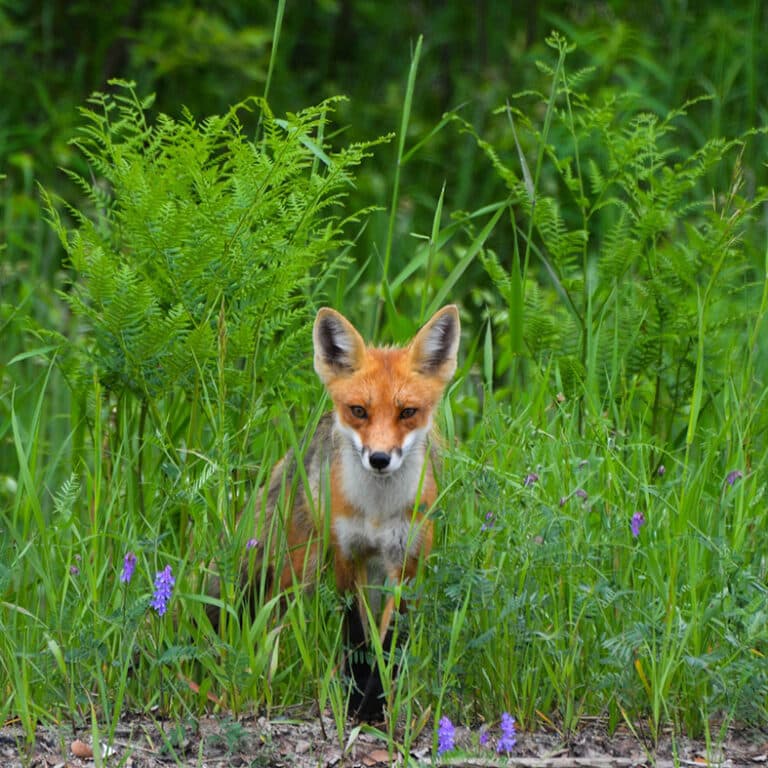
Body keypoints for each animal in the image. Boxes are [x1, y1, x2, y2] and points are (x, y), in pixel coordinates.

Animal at [241, 304, 460, 720]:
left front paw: (375, 706)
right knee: (273, 617)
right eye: (359, 411)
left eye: (408, 412)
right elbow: (357, 638)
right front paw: (357, 702)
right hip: (300, 569)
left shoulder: (407, 565)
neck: (376, 512)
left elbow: (390, 644)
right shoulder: (347, 556)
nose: (379, 459)